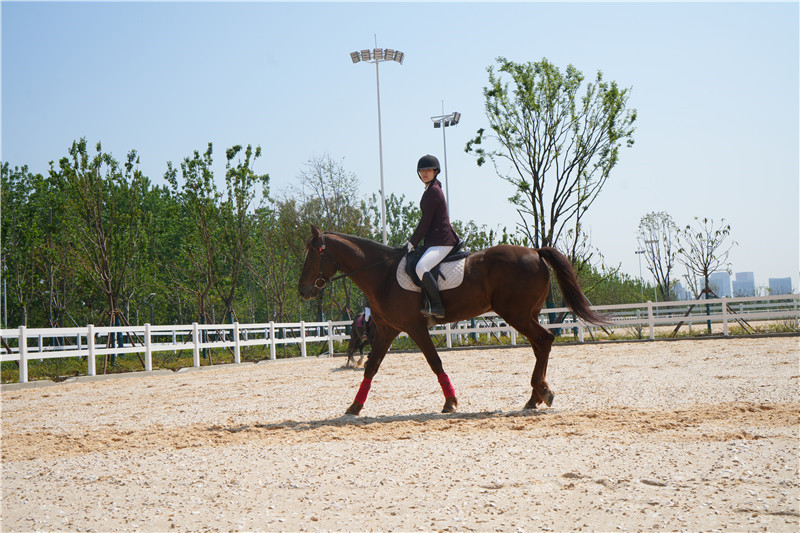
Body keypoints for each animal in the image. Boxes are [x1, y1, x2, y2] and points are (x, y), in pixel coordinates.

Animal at [300, 224, 608, 416]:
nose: (303, 290)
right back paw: (536, 396)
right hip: (526, 314)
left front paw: (450, 402)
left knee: (545, 340)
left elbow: (434, 361)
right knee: (540, 345)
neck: (382, 275)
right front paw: (354, 407)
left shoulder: (414, 327)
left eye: (313, 254)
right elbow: (371, 367)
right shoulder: (387, 330)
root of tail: (535, 252)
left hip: (516, 314)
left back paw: (540, 393)